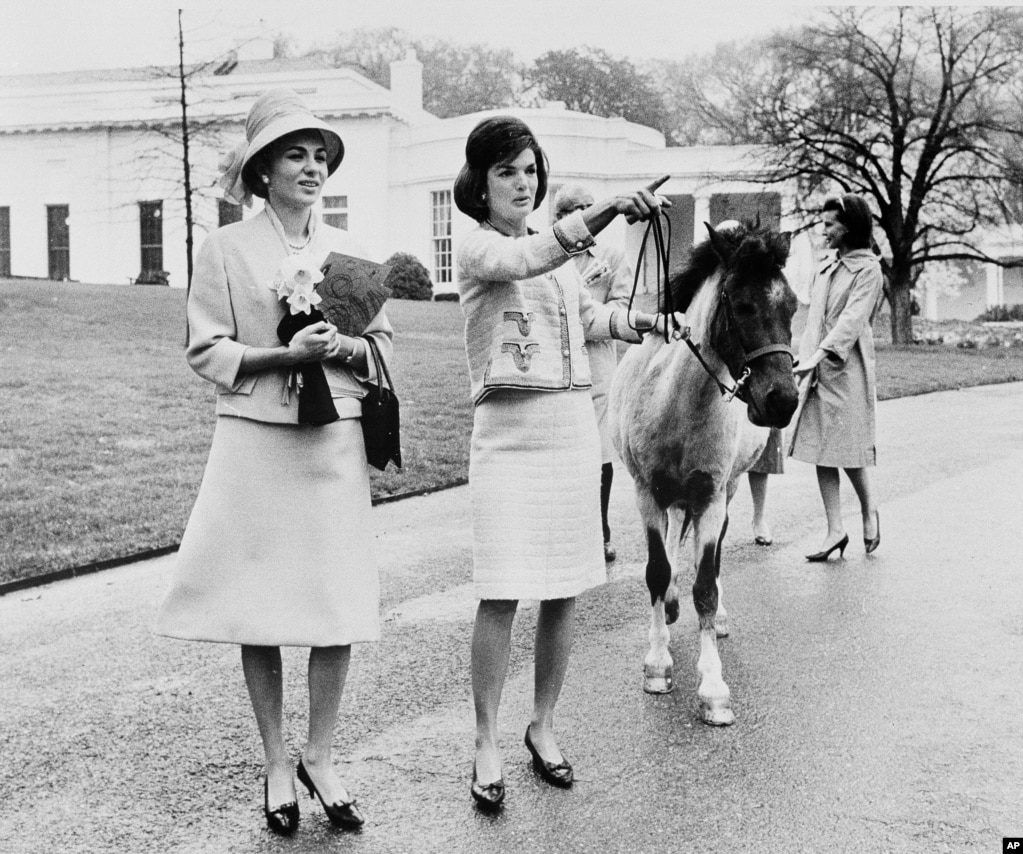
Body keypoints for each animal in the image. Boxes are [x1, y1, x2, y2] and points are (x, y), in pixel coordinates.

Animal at [605, 220, 797, 728]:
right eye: (743, 303)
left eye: (791, 306)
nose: (783, 401)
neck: (676, 406)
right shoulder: (647, 493)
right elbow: (656, 572)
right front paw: (657, 665)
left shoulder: (710, 495)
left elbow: (706, 587)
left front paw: (713, 688)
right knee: (673, 545)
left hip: (726, 492)